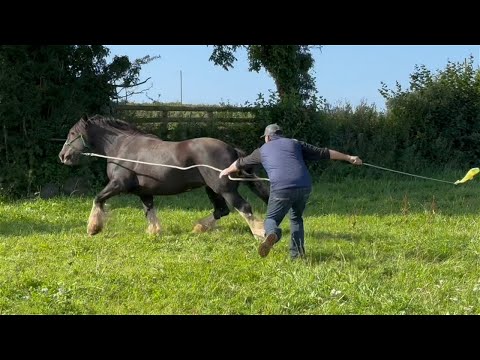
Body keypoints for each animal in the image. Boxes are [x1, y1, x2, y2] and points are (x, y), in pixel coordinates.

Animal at [58, 115, 268, 238]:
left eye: (73, 133)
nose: (63, 156)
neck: (120, 148)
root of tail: (232, 149)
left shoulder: (118, 184)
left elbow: (98, 199)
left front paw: (93, 228)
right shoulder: (143, 192)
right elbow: (149, 211)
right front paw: (154, 232)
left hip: (223, 189)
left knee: (243, 207)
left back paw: (260, 234)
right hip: (212, 189)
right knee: (221, 210)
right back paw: (199, 227)